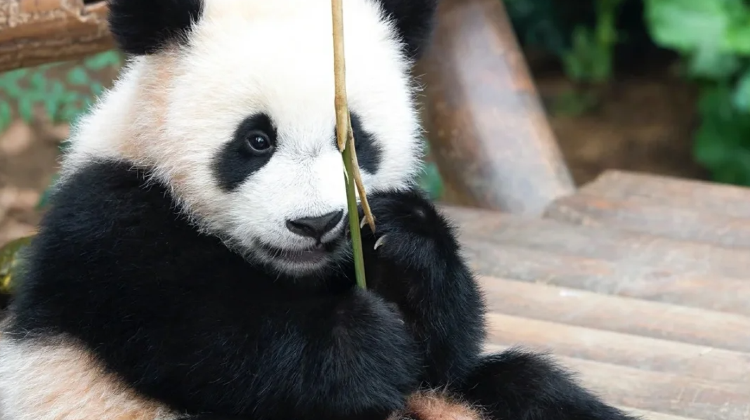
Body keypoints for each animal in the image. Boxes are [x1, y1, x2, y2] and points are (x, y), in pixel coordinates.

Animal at [0, 0, 639, 419]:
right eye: (256, 140)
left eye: (349, 137)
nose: (315, 224)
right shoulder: (110, 219)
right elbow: (212, 337)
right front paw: (362, 343)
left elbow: (444, 352)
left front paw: (405, 243)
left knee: (524, 387)